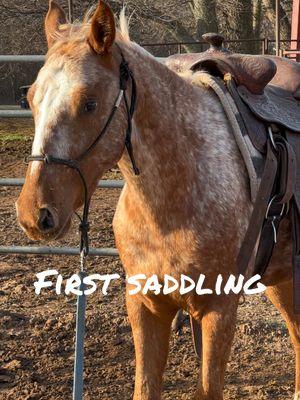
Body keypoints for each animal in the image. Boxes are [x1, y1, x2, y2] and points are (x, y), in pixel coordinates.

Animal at [15, 1, 300, 398]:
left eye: (89, 103)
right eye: (30, 99)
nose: (33, 213)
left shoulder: (219, 310)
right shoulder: (145, 306)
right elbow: (145, 386)